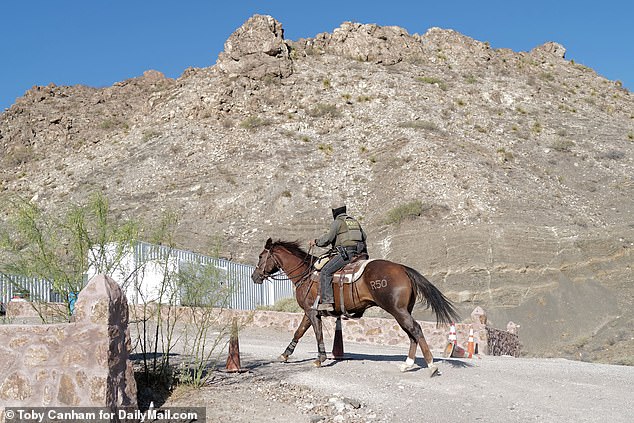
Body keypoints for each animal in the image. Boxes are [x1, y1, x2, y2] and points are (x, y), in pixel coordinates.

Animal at [248, 238, 460, 378]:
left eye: (260, 256)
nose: (254, 277)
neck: (306, 273)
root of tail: (403, 269)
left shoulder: (311, 312)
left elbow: (317, 334)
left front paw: (320, 358)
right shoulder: (309, 313)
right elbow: (298, 332)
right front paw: (285, 354)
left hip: (398, 311)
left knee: (415, 330)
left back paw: (431, 366)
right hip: (402, 311)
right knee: (411, 334)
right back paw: (407, 365)